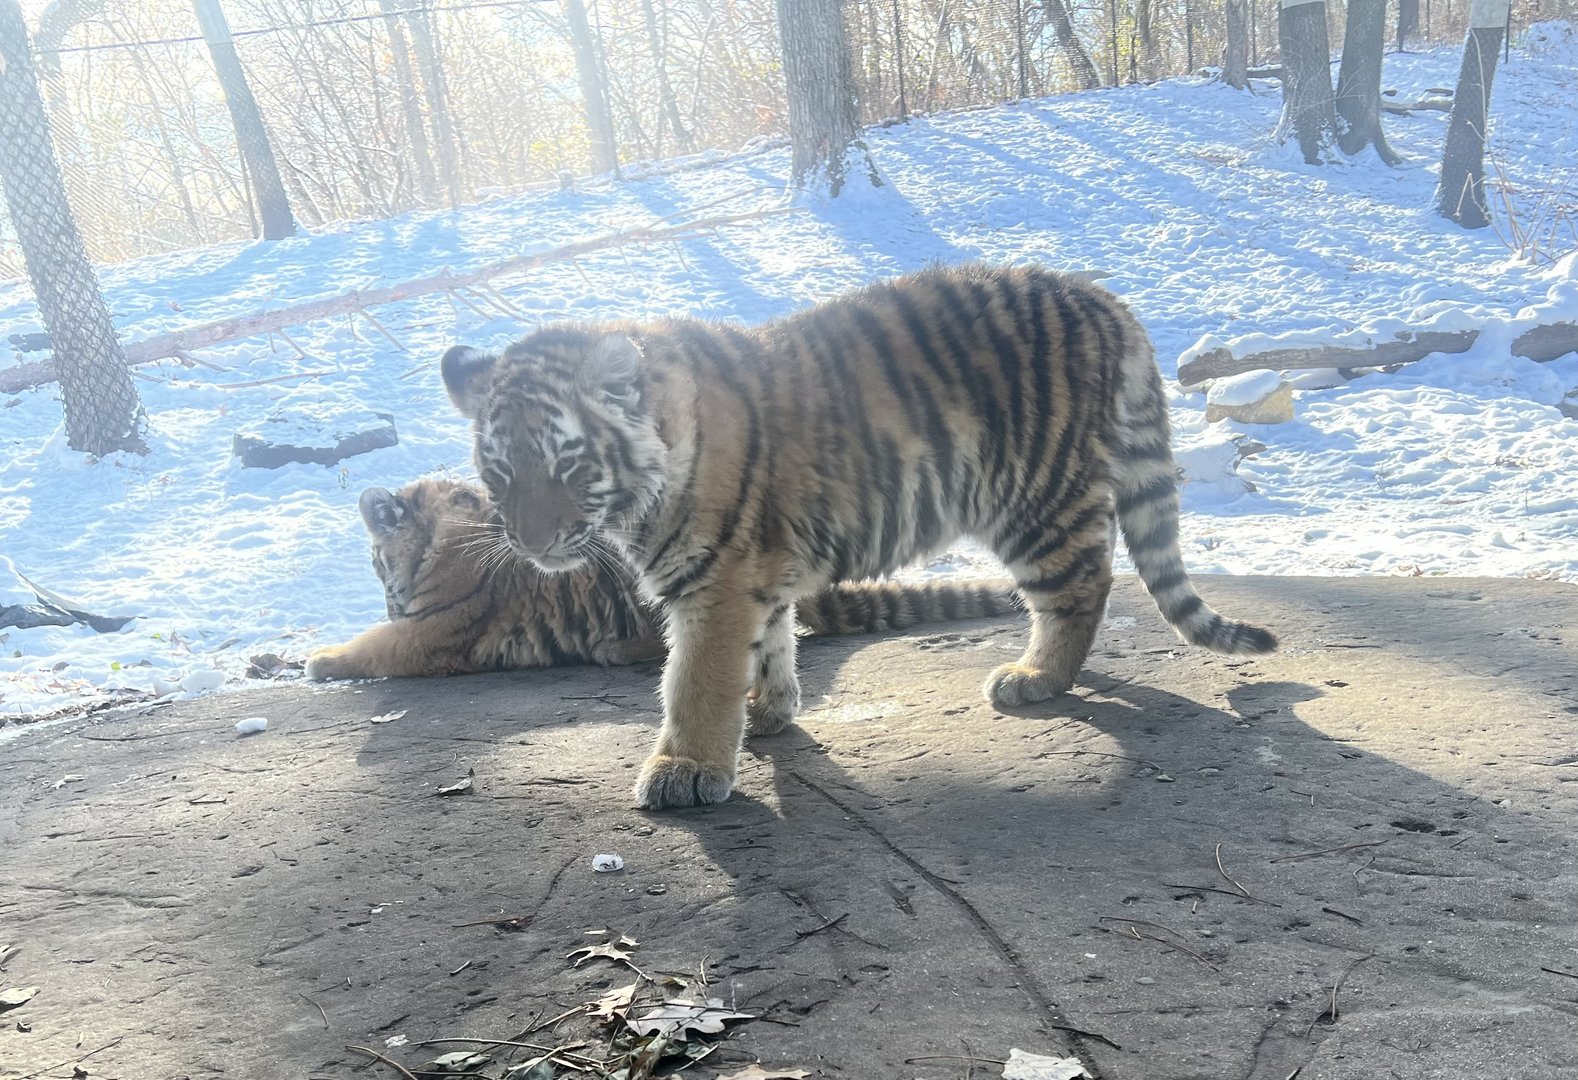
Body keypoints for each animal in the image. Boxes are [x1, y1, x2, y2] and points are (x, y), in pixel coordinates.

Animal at [438, 262, 1277, 809]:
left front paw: (683, 768)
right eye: (500, 470)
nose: (532, 542)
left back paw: (1036, 676)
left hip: (1034, 497)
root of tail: (1104, 300)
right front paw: (771, 710)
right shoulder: (757, 572)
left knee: (1084, 585)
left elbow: (693, 681)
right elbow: (774, 641)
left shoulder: (713, 582)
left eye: (567, 463)